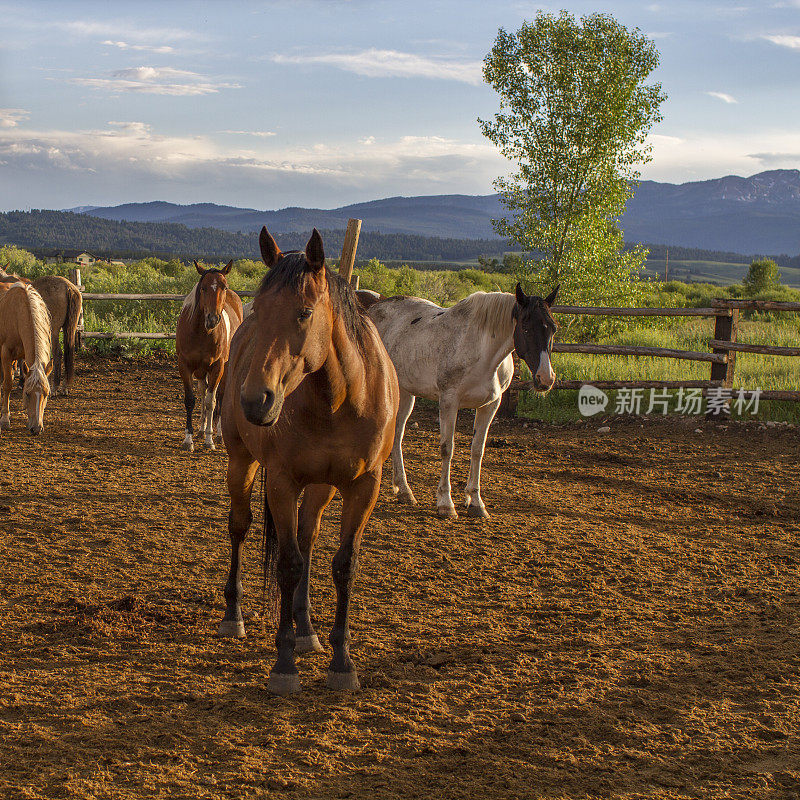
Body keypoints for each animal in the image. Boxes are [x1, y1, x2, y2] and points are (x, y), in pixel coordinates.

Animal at [0, 282, 52, 432]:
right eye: (28, 393)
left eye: (46, 394)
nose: (36, 429)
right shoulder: (5, 354)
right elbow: (7, 384)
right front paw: (5, 418)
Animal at [177, 260, 244, 450]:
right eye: (203, 288)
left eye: (224, 287)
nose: (213, 319)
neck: (201, 332)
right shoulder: (185, 366)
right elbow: (191, 400)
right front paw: (188, 439)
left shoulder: (217, 367)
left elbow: (211, 401)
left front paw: (209, 439)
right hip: (201, 372)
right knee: (203, 392)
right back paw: (200, 429)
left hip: (224, 368)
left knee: (219, 397)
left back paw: (218, 434)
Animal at [219, 225, 396, 692]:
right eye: (261, 308)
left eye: (303, 312)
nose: (254, 400)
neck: (339, 399)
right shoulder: (282, 483)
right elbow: (288, 564)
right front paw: (283, 665)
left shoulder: (363, 487)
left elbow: (343, 565)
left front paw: (341, 661)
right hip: (240, 462)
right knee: (240, 527)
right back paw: (234, 614)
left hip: (321, 487)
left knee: (308, 534)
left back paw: (305, 628)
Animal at [368, 286, 556, 520]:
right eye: (526, 328)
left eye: (553, 329)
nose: (545, 379)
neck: (484, 353)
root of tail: (373, 309)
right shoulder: (449, 401)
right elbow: (447, 449)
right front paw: (446, 504)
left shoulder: (489, 406)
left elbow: (477, 450)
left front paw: (476, 502)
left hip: (406, 393)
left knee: (397, 435)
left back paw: (404, 491)